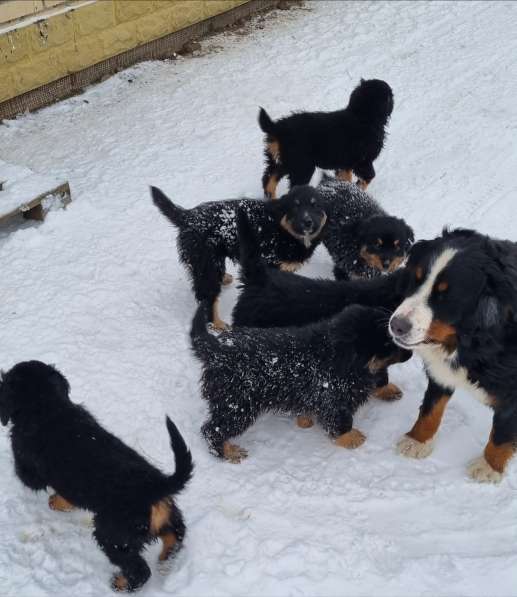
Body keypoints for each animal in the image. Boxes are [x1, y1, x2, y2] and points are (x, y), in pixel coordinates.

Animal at [150, 185, 326, 328]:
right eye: (295, 207)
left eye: (315, 205)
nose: (308, 222)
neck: (281, 228)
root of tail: (188, 216)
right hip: (208, 260)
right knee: (207, 294)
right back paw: (217, 323)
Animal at [260, 77, 394, 197]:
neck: (362, 117)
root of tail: (278, 128)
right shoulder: (363, 161)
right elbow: (369, 177)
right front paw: (357, 188)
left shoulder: (345, 164)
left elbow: (345, 178)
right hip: (302, 166)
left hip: (283, 161)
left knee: (269, 180)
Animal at [388, 230, 516, 482]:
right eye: (416, 279)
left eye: (445, 296)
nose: (397, 325)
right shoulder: (441, 372)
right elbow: (431, 407)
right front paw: (417, 440)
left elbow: (502, 431)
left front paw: (489, 466)